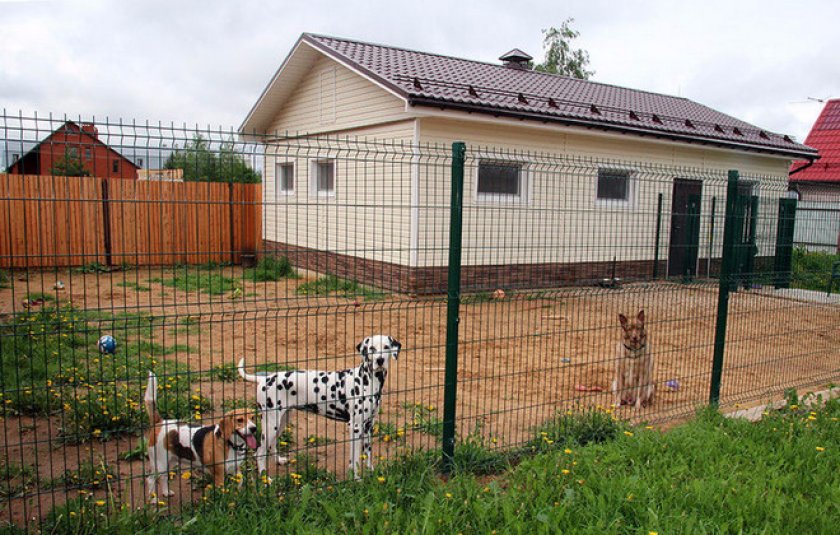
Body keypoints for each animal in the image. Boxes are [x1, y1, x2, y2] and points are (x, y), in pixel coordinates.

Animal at [144, 370, 256, 500]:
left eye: (252, 418)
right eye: (239, 420)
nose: (254, 428)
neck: (230, 444)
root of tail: (159, 422)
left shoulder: (236, 469)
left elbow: (241, 481)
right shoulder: (219, 475)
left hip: (170, 461)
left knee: (164, 477)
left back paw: (166, 492)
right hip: (159, 463)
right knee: (150, 480)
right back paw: (153, 500)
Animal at [238, 336, 402, 482]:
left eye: (386, 347)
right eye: (371, 349)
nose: (379, 360)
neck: (366, 380)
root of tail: (264, 378)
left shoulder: (368, 426)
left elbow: (368, 454)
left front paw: (371, 473)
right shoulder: (354, 427)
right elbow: (355, 459)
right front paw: (356, 479)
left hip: (281, 421)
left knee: (271, 445)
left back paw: (278, 460)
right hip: (271, 424)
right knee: (259, 453)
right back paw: (265, 479)